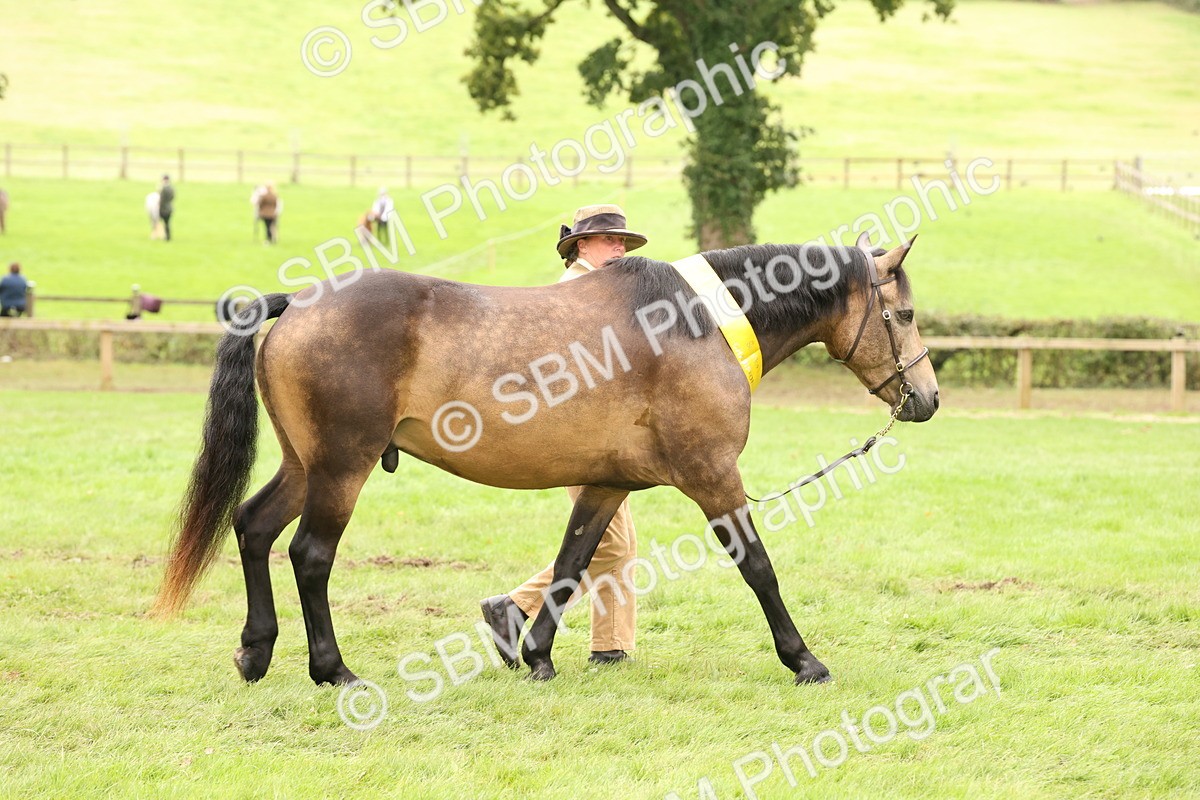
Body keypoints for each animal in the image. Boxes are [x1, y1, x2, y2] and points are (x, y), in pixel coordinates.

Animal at [152, 234, 939, 687]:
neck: (700, 324)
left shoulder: (606, 483)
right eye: (902, 316)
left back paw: (255, 653)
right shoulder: (713, 475)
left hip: (305, 464)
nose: (927, 398)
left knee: (254, 528)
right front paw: (803, 659)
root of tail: (298, 303)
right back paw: (332, 670)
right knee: (310, 555)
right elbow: (758, 567)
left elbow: (570, 565)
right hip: (342, 467)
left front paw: (535, 655)